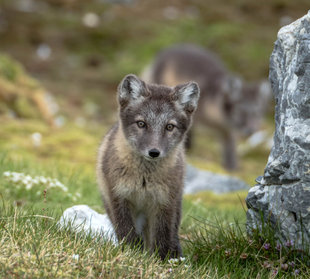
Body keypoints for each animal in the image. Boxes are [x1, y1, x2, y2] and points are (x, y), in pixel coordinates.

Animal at [96, 74, 201, 260]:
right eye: (141, 124)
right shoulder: (119, 196)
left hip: (175, 205)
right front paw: (129, 253)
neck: (144, 179)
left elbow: (161, 236)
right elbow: (126, 232)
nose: (154, 152)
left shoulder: (164, 203)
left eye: (169, 127)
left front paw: (160, 260)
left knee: (171, 234)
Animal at [143, 44, 272, 171]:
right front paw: (187, 149)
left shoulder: (227, 129)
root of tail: (163, 53)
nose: (251, 130)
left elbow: (230, 145)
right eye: (241, 111)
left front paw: (231, 166)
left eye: (257, 113)